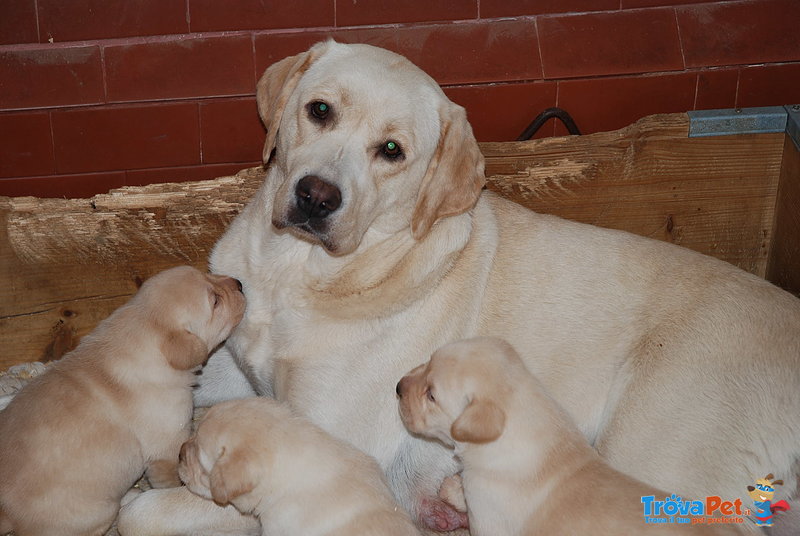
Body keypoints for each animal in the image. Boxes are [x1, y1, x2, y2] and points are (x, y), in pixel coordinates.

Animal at [0, 264, 245, 536]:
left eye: (208, 273)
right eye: (215, 301)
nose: (239, 283)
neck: (143, 330)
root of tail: (6, 513)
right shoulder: (167, 446)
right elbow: (170, 478)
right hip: (100, 511)